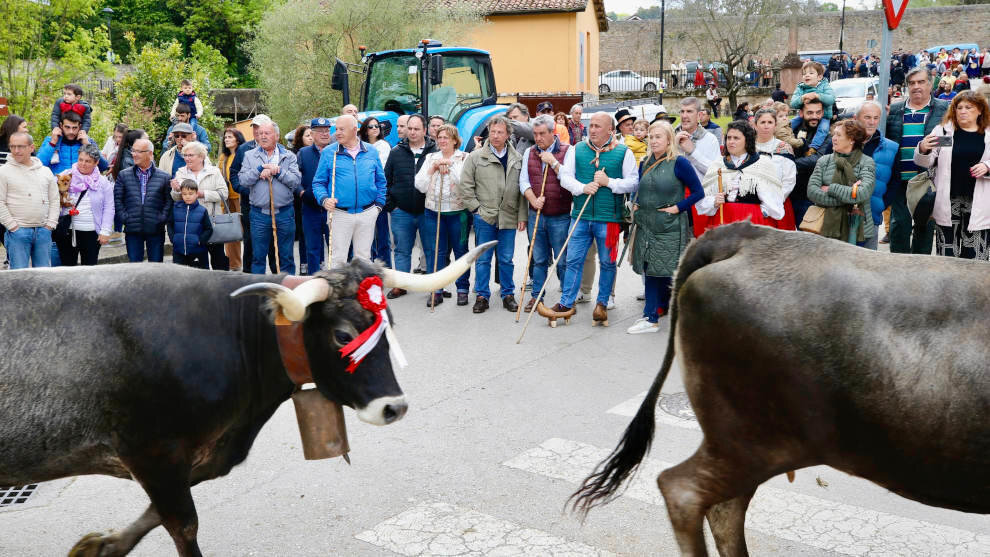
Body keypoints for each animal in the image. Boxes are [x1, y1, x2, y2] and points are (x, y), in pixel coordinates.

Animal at [0, 242, 496, 556]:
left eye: (387, 323)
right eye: (342, 335)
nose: (395, 407)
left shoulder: (189, 459)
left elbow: (157, 515)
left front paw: (98, 546)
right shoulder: (152, 452)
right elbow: (183, 524)